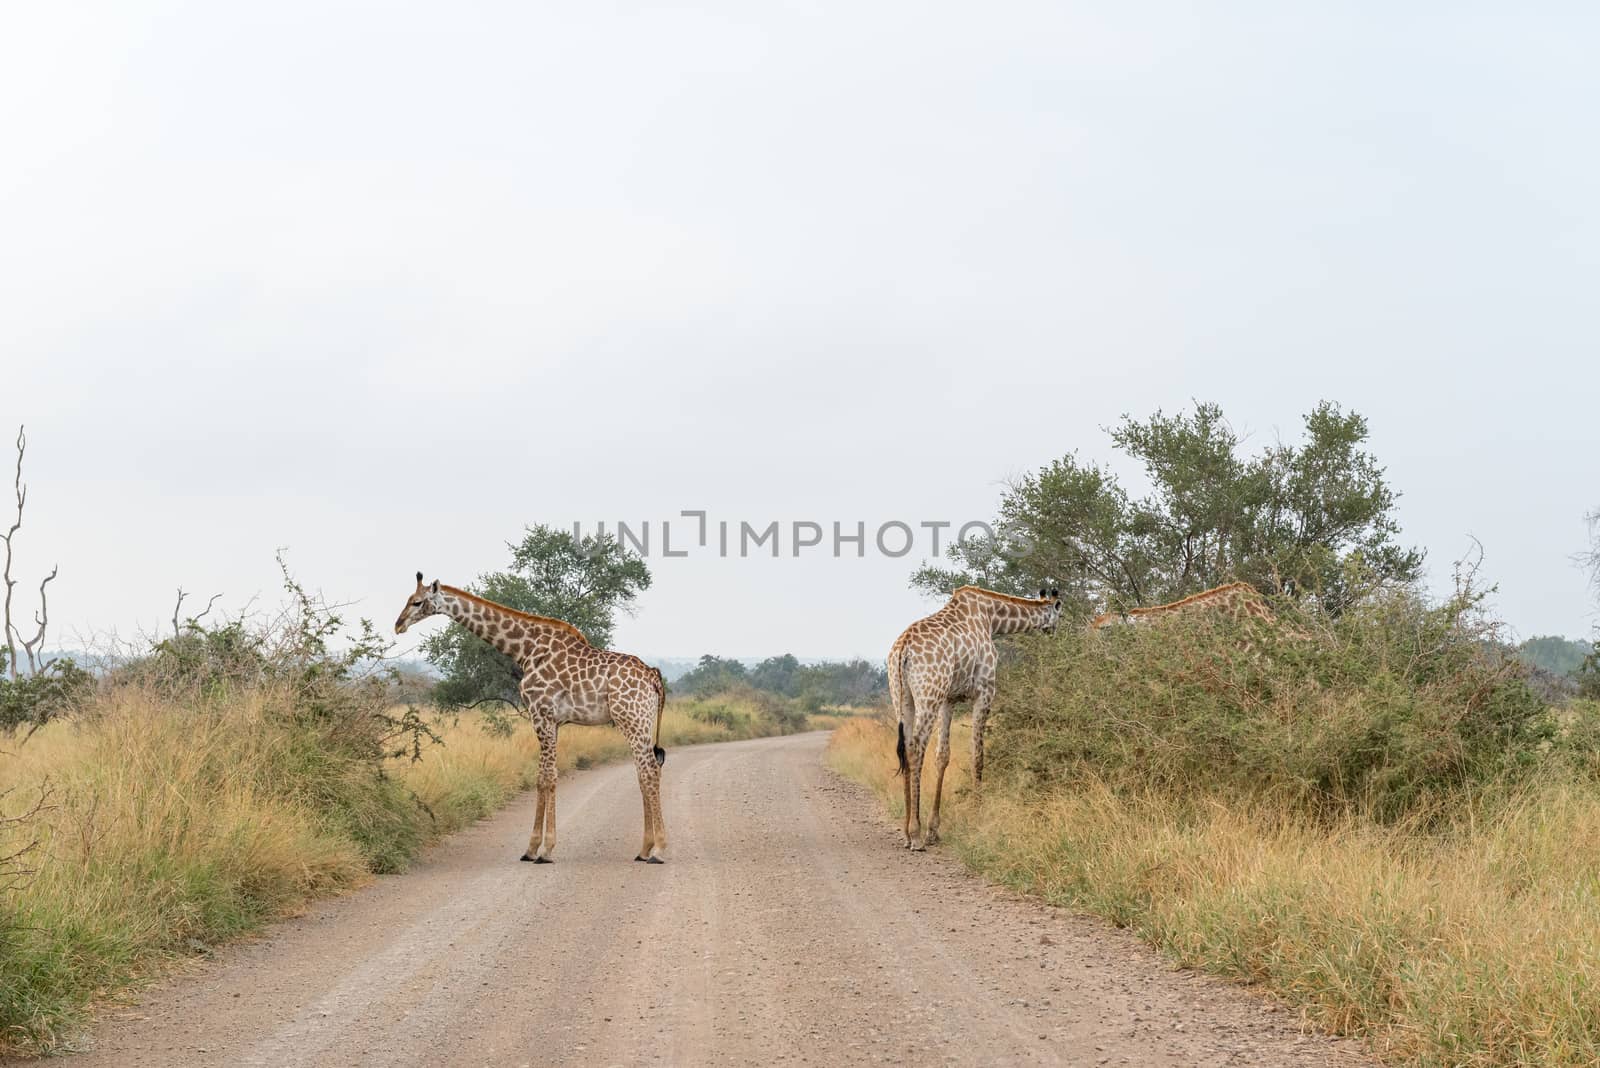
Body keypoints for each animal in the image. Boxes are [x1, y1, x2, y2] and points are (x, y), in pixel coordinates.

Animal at [393, 572, 668, 863]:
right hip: (642, 722)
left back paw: (658, 849)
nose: (398, 625)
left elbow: (547, 778)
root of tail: (654, 676)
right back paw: (644, 849)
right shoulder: (552, 721)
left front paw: (544, 849)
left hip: (632, 719)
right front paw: (532, 849)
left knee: (649, 771)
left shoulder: (541, 714)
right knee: (645, 773)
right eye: (409, 599)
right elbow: (543, 777)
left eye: (417, 602)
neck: (525, 649)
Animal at [889, 585, 1062, 850]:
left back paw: (908, 832)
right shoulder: (985, 691)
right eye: (1060, 613)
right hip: (929, 694)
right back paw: (915, 835)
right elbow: (978, 755)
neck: (991, 618)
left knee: (906, 746)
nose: (1055, 634)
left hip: (903, 696)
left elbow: (943, 756)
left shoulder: (949, 698)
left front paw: (934, 829)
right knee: (916, 747)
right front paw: (977, 814)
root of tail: (903, 650)